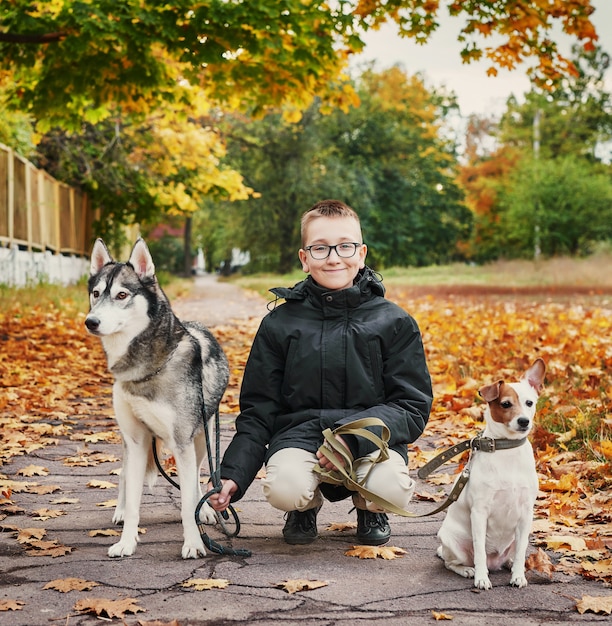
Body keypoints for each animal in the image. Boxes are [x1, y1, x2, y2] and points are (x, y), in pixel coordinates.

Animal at [85, 236, 230, 560]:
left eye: (122, 295)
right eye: (96, 294)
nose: (91, 321)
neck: (148, 367)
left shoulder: (183, 441)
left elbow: (188, 502)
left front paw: (194, 543)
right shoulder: (138, 442)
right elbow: (134, 501)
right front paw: (126, 542)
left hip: (201, 439)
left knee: (198, 478)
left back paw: (205, 511)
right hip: (130, 442)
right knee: (124, 476)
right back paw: (120, 510)